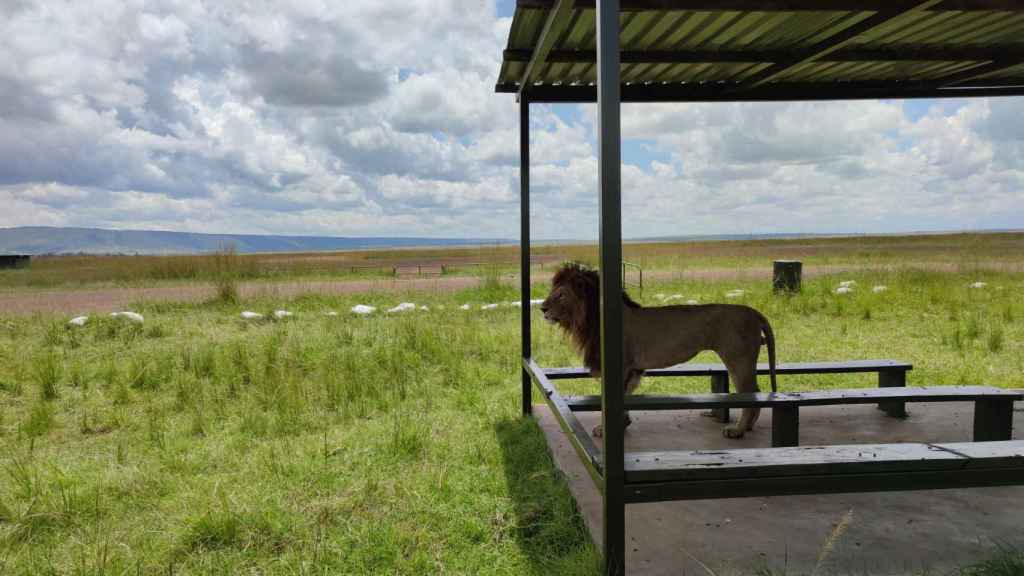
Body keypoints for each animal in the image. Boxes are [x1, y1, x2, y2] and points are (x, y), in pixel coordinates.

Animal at [540, 262, 770, 436]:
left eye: (561, 295)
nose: (542, 308)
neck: (592, 320)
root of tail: (753, 313)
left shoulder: (621, 366)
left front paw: (606, 430)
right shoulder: (633, 369)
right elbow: (627, 396)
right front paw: (623, 424)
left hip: (738, 359)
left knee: (750, 393)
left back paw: (738, 431)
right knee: (756, 391)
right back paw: (748, 427)